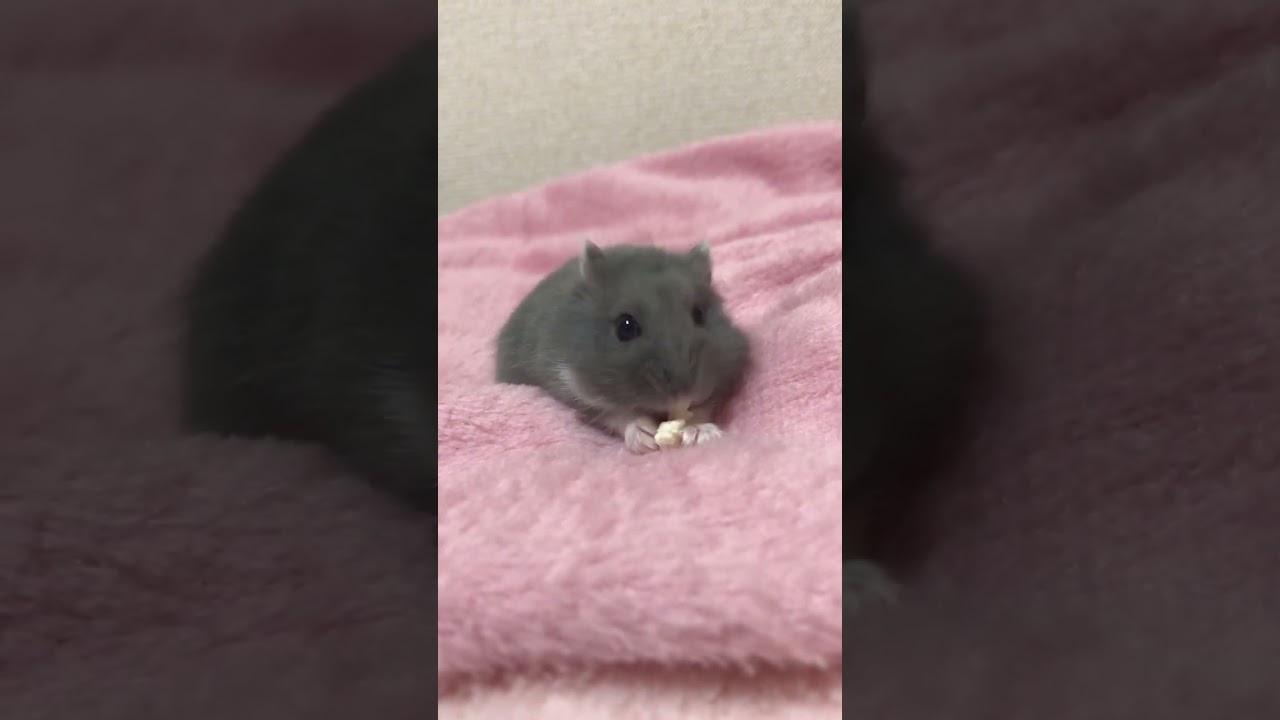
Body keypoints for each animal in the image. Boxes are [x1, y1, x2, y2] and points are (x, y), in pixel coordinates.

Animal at [496, 241, 751, 453]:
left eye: (699, 314)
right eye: (625, 327)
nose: (682, 397)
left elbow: (703, 407)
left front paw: (701, 433)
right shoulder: (571, 386)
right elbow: (617, 414)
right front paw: (645, 435)